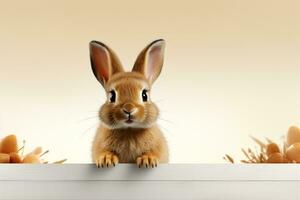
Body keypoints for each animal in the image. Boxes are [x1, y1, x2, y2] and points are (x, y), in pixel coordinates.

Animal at [89, 38, 169, 167]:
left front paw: (147, 160)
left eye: (144, 95)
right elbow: (102, 152)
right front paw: (106, 160)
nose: (129, 109)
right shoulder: (99, 146)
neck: (129, 130)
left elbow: (155, 152)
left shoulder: (160, 147)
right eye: (112, 96)